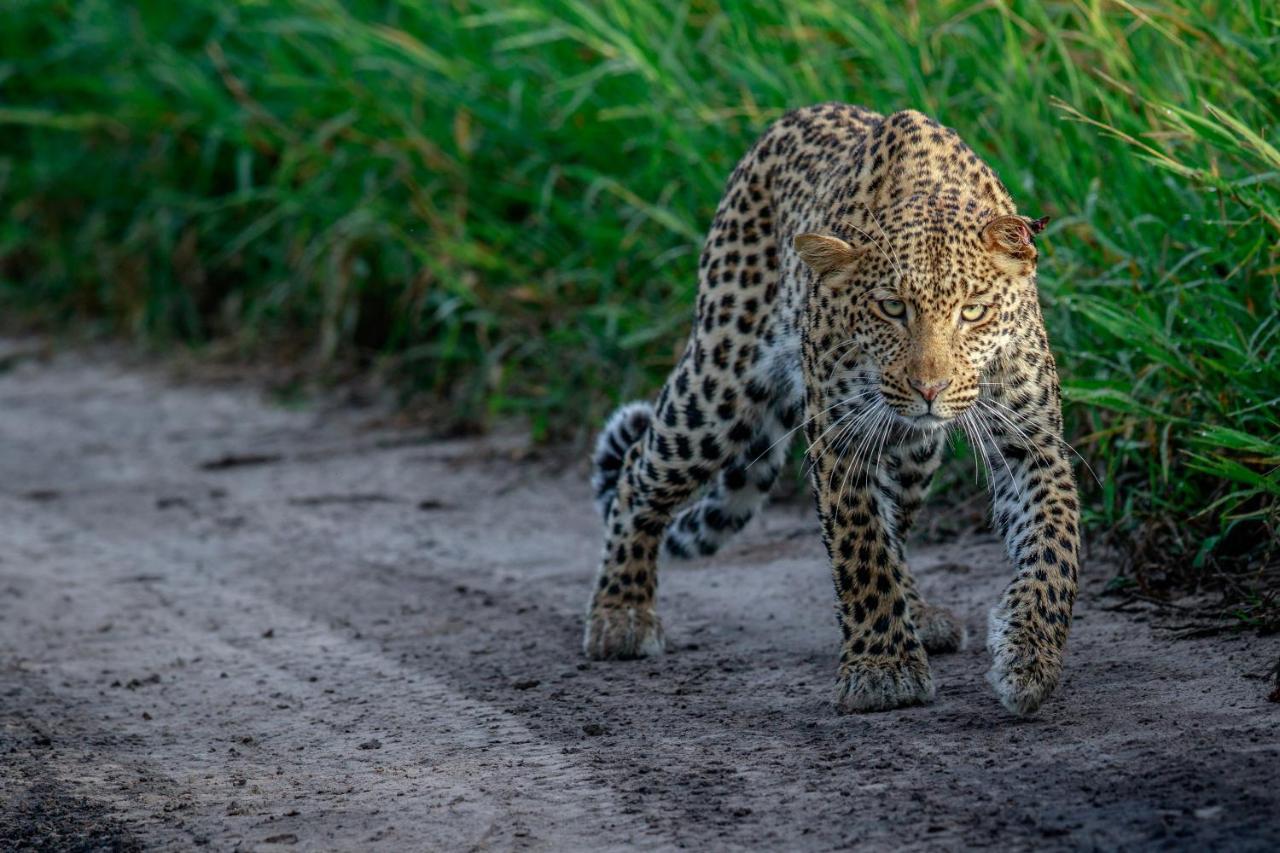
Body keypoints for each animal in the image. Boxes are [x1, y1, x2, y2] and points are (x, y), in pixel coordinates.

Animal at [586, 101, 1075, 712]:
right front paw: (884, 670)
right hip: (720, 381)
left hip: (914, 454)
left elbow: (1054, 544)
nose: (930, 389)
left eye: (973, 311)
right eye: (891, 309)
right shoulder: (839, 441)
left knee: (896, 519)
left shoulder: (1033, 441)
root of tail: (793, 116)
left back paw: (919, 613)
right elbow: (860, 549)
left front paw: (1029, 657)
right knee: (637, 471)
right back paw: (620, 612)